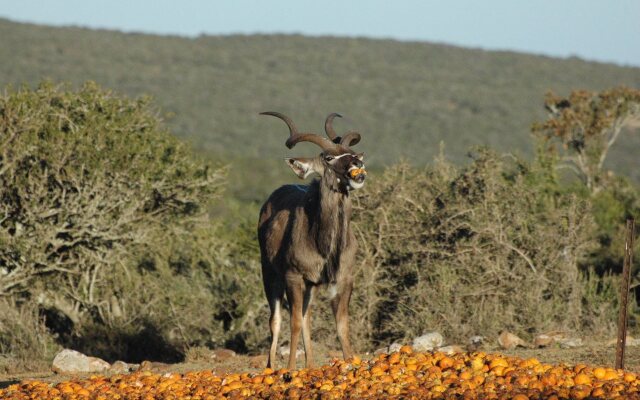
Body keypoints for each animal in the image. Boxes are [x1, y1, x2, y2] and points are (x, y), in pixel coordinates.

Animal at [255, 111, 364, 368]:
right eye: (328, 157)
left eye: (352, 152)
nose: (357, 165)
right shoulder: (293, 277)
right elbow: (293, 321)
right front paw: (290, 369)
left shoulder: (342, 279)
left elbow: (341, 325)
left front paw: (349, 362)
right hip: (270, 275)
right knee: (276, 319)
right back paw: (272, 368)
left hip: (310, 286)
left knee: (306, 316)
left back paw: (311, 366)